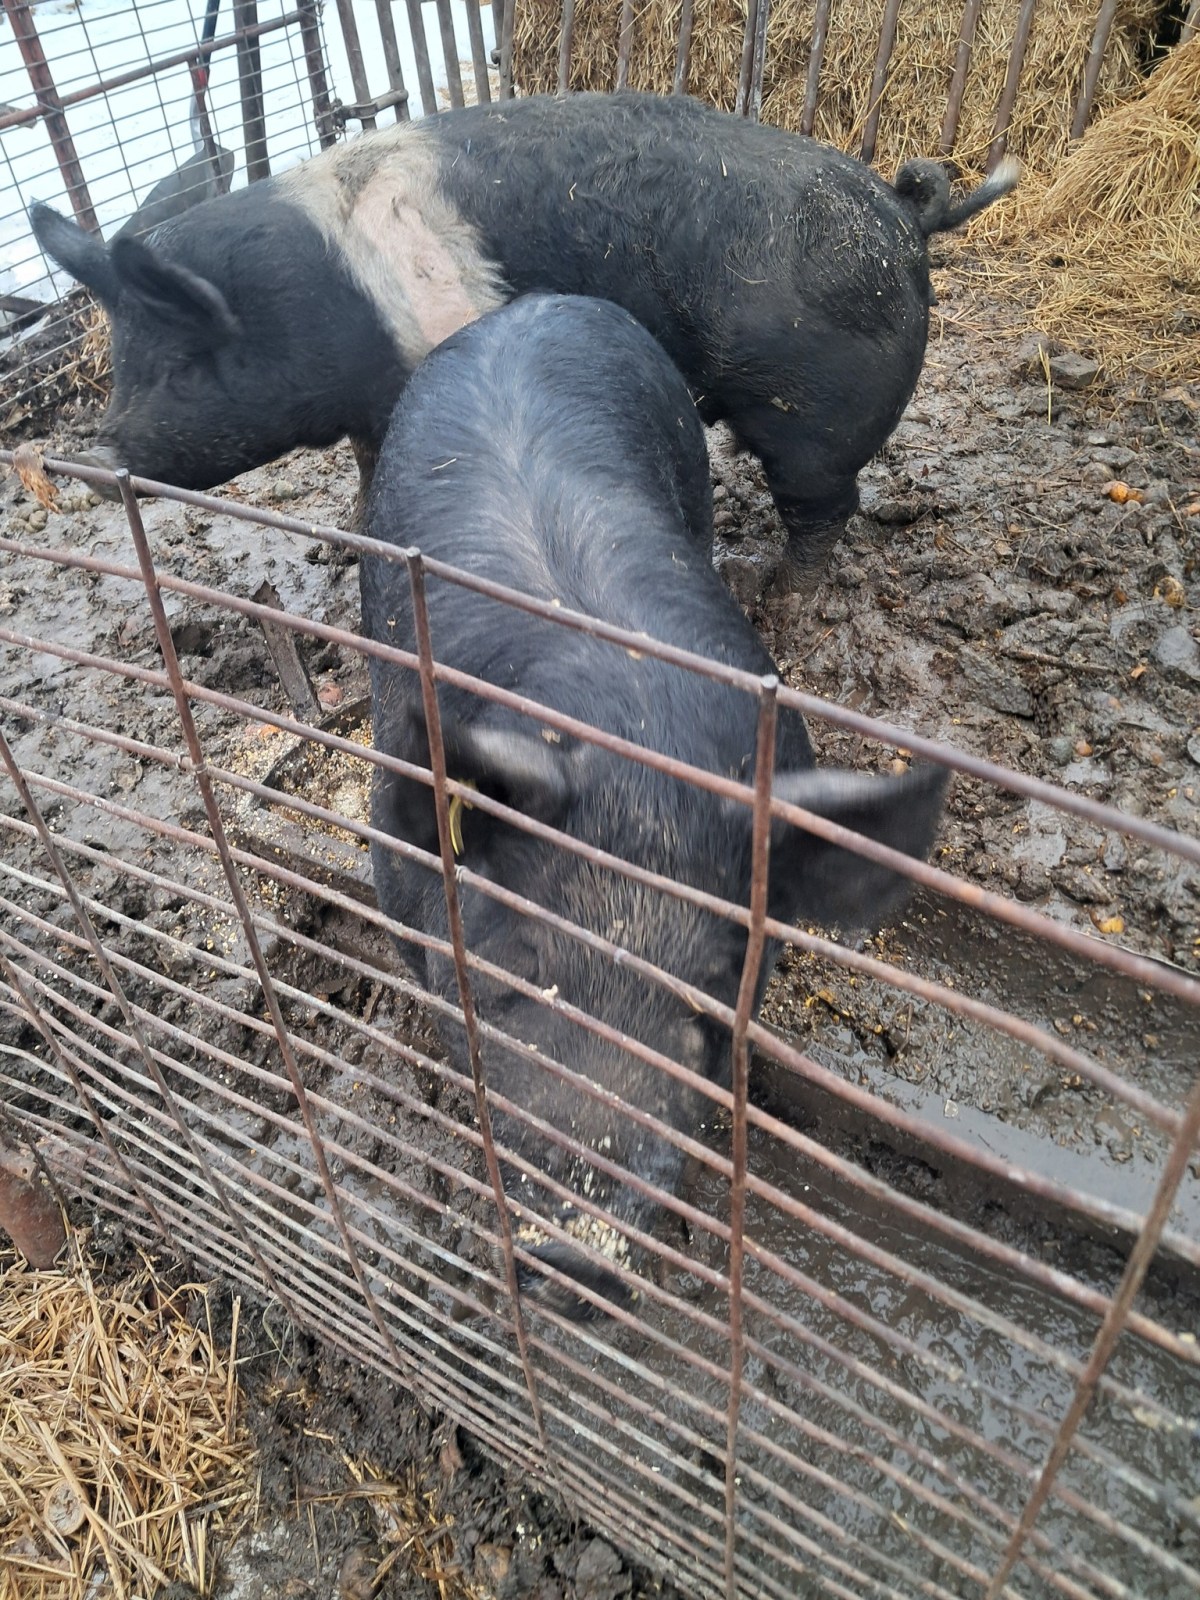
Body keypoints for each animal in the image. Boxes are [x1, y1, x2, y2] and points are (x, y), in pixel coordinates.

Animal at [30, 91, 1017, 576]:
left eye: (179, 365)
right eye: (122, 361)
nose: (83, 456)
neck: (328, 300)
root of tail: (906, 213)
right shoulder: (373, 406)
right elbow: (365, 471)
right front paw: (346, 536)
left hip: (815, 414)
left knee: (825, 508)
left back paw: (778, 589)